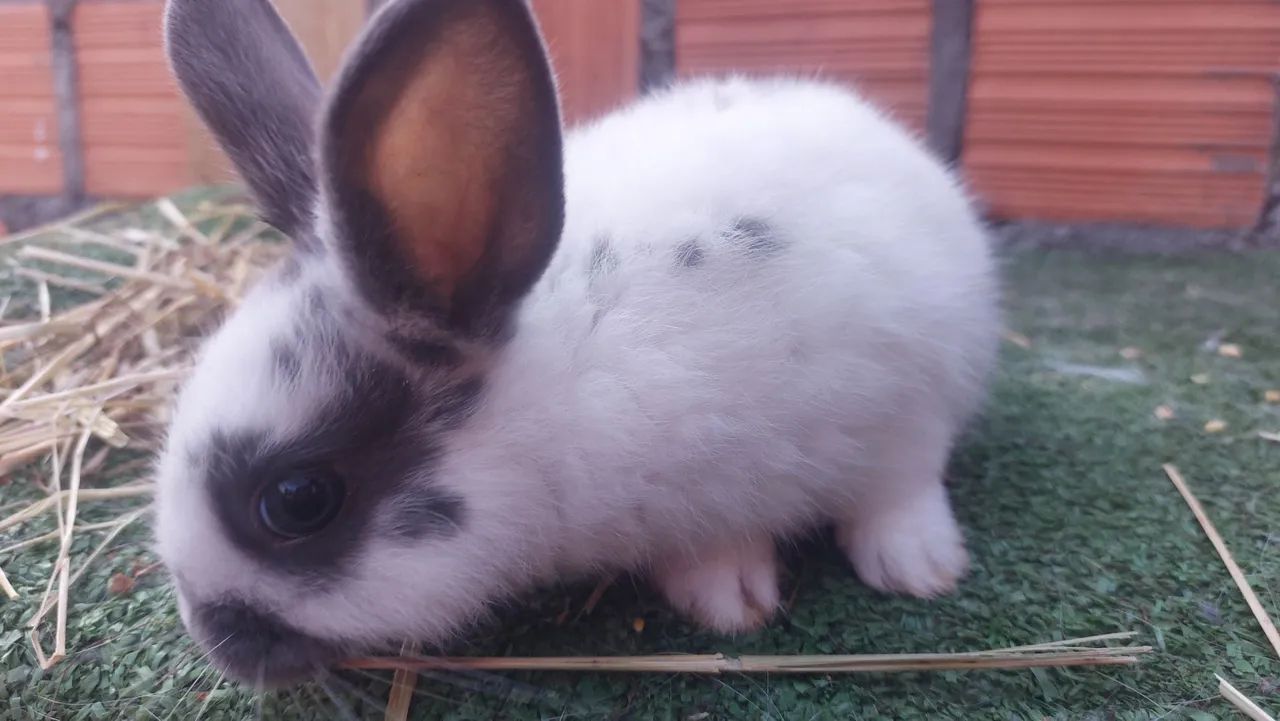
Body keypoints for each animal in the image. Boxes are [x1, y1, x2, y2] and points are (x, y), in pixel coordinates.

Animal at [154, 0, 1000, 686]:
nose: (213, 641)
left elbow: (897, 482)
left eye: (297, 500)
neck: (556, 403)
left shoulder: (899, 399)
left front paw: (897, 573)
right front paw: (725, 595)